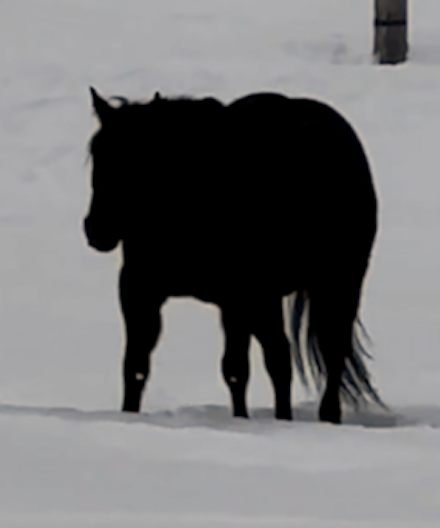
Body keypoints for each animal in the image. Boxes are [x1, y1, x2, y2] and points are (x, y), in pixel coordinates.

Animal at [83, 86, 382, 424]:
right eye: (98, 154)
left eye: (138, 161)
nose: (97, 229)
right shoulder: (140, 290)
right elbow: (135, 366)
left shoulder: (239, 297)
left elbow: (237, 370)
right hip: (268, 300)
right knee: (281, 357)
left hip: (336, 283)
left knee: (329, 353)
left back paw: (326, 416)